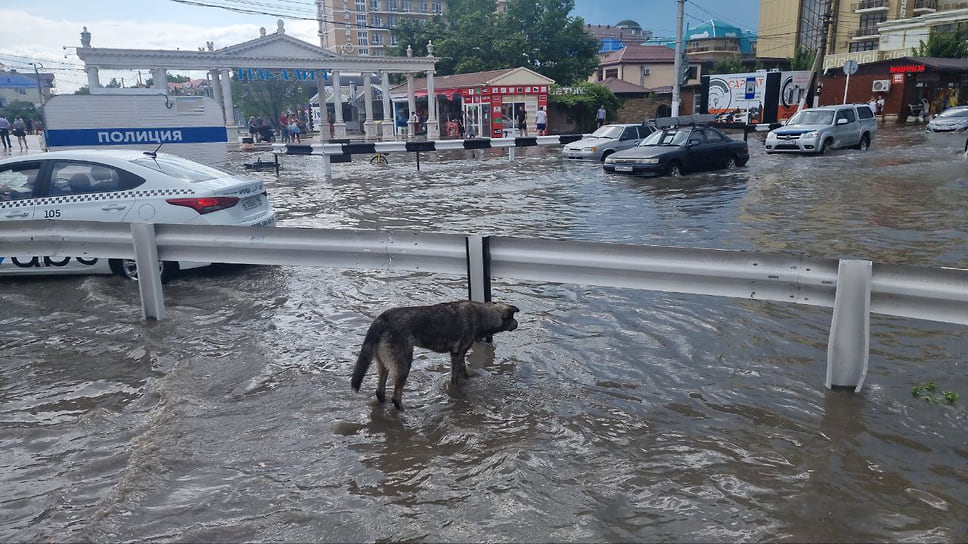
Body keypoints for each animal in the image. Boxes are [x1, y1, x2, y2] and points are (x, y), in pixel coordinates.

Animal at [352, 300, 520, 410]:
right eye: (513, 317)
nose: (518, 324)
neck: (481, 314)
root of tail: (381, 319)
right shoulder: (457, 355)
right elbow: (456, 379)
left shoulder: (458, 355)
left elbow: (464, 373)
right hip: (404, 365)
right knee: (395, 397)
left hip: (383, 365)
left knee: (380, 392)